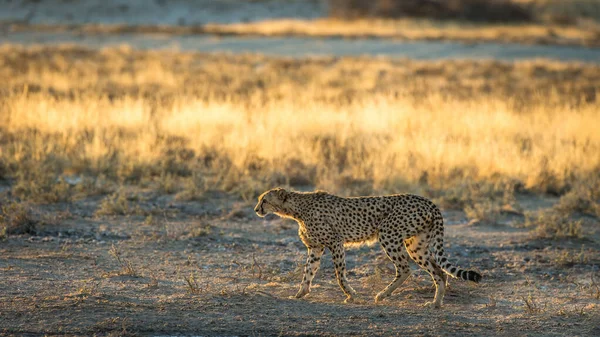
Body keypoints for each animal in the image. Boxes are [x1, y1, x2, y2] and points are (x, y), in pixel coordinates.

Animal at [253, 186, 482, 308]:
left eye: (264, 200)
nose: (256, 209)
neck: (296, 209)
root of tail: (427, 200)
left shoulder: (336, 242)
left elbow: (339, 275)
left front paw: (351, 295)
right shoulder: (316, 248)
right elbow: (307, 272)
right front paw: (300, 293)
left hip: (388, 234)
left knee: (405, 268)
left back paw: (382, 295)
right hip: (416, 244)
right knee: (439, 273)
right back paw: (435, 303)